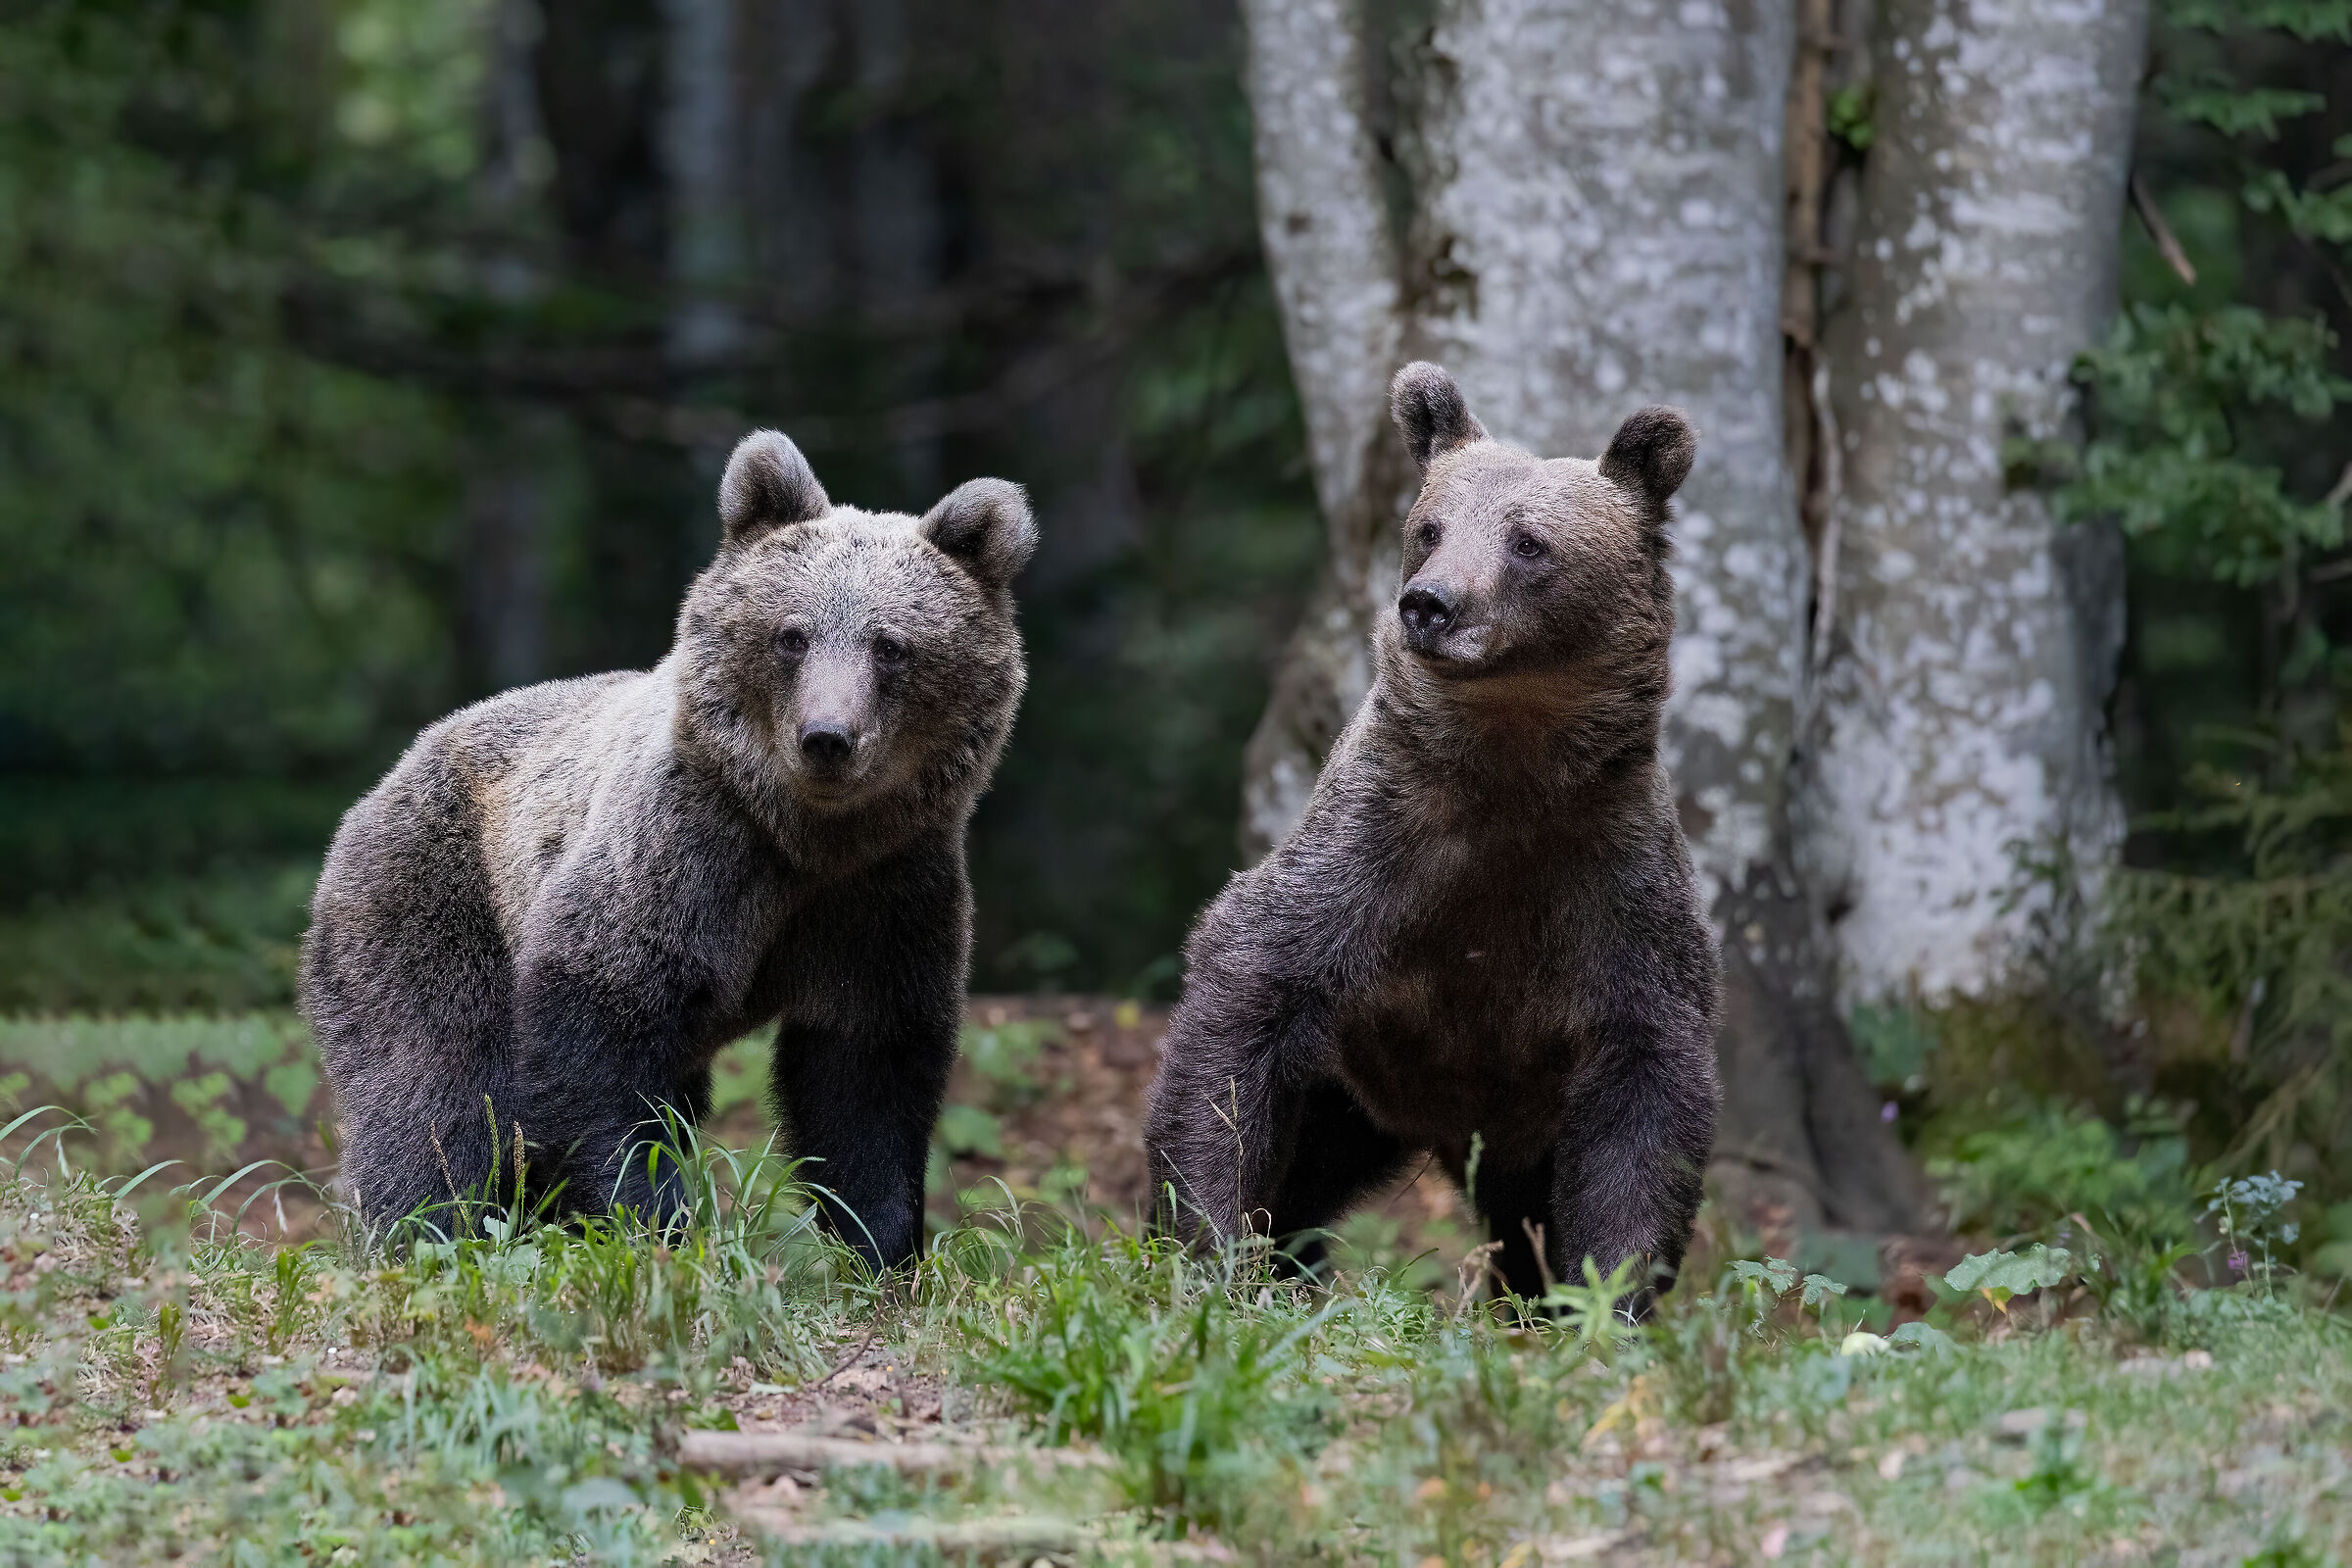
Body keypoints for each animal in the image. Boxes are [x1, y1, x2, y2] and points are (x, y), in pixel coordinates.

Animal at [299, 430, 1034, 1271]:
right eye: (792, 635)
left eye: (891, 647)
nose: (827, 737)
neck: (806, 841)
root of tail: (393, 770)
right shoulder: (684, 856)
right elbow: (600, 1041)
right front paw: (655, 1225)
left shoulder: (888, 891)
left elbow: (865, 1077)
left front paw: (882, 1246)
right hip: (433, 895)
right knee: (434, 1084)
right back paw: (424, 1232)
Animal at [1144, 362, 1720, 1311]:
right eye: (1429, 527)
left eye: (1529, 542)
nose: (1431, 604)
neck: (1508, 770)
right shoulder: (1371, 861)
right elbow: (1240, 1013)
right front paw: (1208, 1241)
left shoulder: (1614, 891)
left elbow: (1648, 1096)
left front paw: (1608, 1296)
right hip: (1352, 1092)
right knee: (1306, 1174)